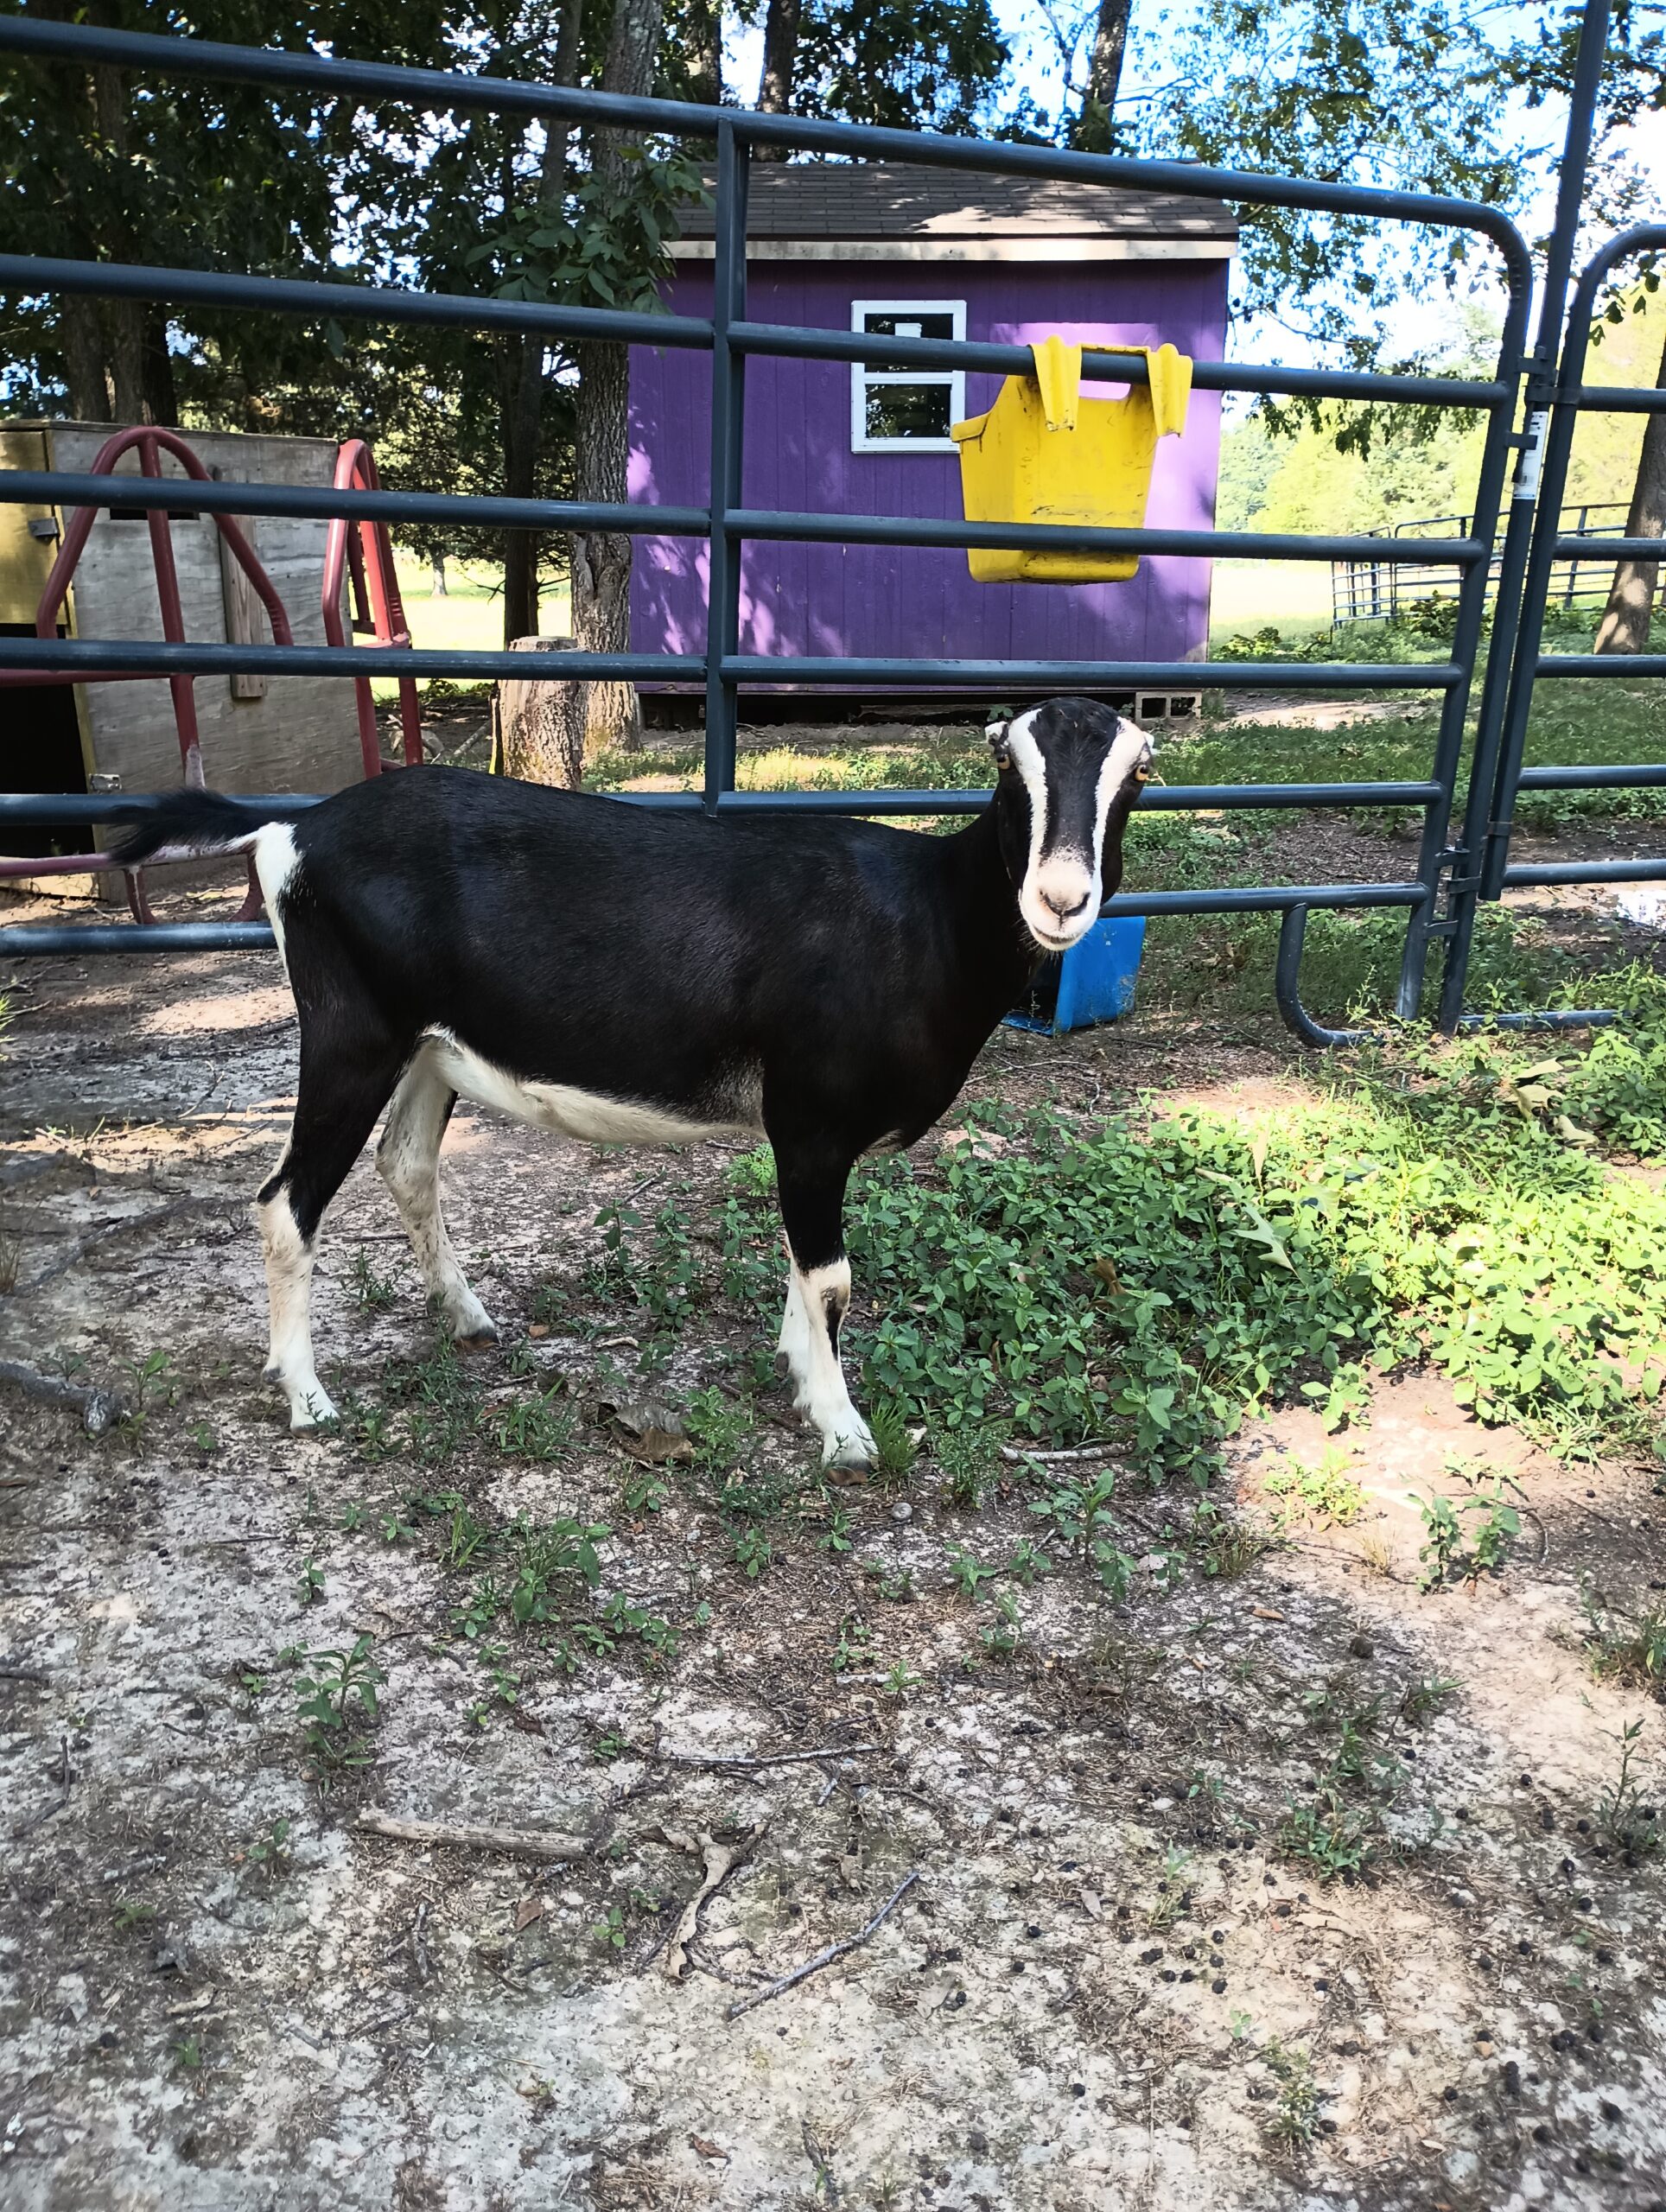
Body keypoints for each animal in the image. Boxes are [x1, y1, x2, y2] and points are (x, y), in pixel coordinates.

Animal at [117, 698, 1150, 1468]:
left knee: (405, 1164)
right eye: (1006, 761)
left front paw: (796, 1372)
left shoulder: (802, 1137)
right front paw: (841, 1428)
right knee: (286, 1200)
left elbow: (801, 1265)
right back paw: (307, 1396)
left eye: (1138, 770)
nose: (1061, 899)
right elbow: (831, 1278)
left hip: (424, 1047)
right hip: (351, 1033)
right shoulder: (810, 1119)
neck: (923, 915)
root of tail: (298, 826)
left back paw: (469, 1319)